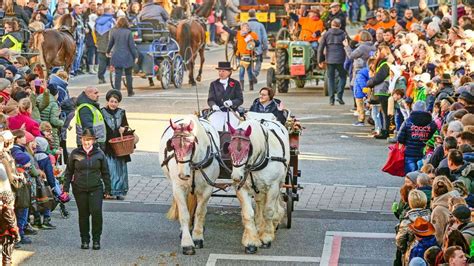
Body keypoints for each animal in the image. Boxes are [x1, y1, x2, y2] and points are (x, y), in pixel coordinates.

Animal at [157, 116, 220, 256]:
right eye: (173, 145)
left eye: (191, 145)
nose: (183, 174)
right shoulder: (178, 188)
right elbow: (184, 214)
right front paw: (187, 243)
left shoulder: (207, 189)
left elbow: (200, 212)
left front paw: (197, 237)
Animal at [226, 118, 288, 254]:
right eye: (228, 148)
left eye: (247, 149)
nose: (236, 177)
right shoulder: (242, 187)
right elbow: (248, 213)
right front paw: (251, 242)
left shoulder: (273, 186)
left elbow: (268, 211)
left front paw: (266, 237)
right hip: (258, 188)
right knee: (260, 202)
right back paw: (259, 225)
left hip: (279, 183)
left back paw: (274, 222)